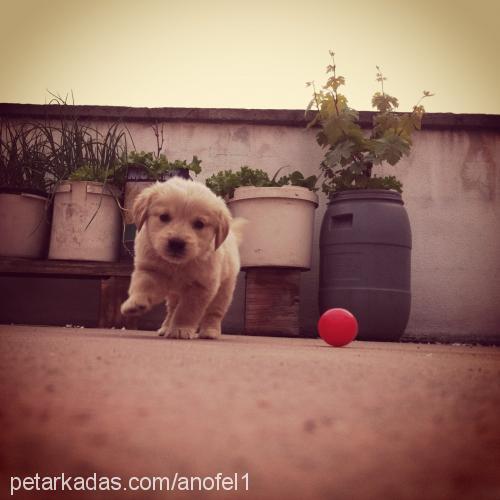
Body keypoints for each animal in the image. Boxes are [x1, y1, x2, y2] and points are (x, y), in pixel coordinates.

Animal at [122, 177, 245, 340]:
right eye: (164, 217)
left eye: (199, 224)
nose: (176, 243)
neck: (178, 265)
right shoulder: (149, 269)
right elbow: (143, 285)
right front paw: (135, 303)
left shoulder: (201, 286)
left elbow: (187, 310)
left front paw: (181, 329)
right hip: (174, 295)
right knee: (172, 309)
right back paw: (165, 327)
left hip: (224, 289)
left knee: (214, 313)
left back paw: (210, 331)